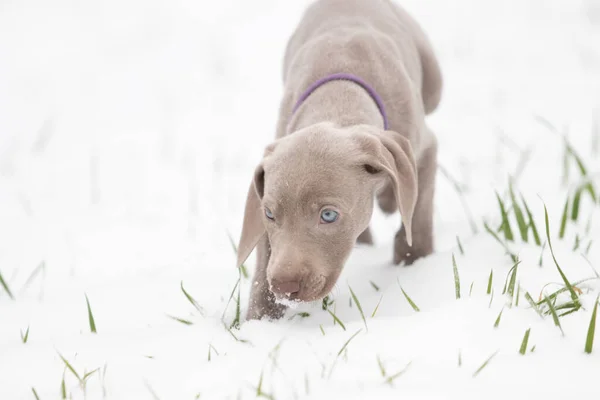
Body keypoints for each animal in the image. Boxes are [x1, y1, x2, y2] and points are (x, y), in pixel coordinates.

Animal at [234, 0, 440, 320]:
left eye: (328, 215)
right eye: (269, 214)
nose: (285, 286)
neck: (339, 95)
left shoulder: (425, 149)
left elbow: (417, 214)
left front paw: (413, 259)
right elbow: (265, 254)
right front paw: (261, 319)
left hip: (433, 82)